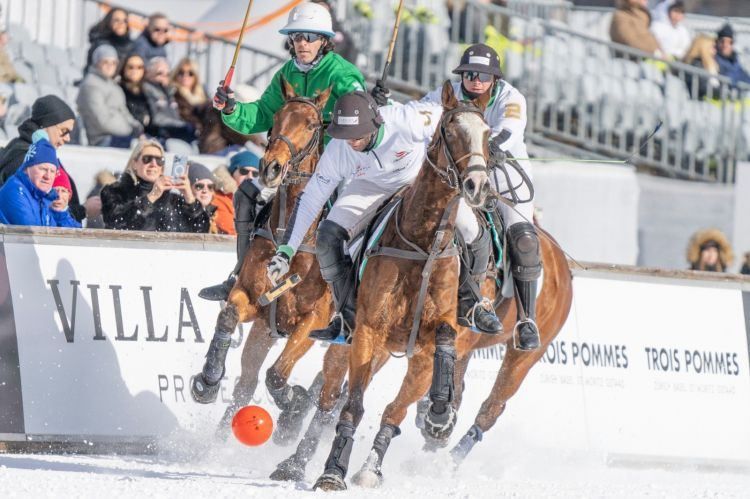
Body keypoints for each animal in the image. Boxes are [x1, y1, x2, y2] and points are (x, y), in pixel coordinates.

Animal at [191, 78, 334, 442]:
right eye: (276, 118)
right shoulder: (254, 301)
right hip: (264, 331)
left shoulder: (315, 319)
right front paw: (208, 381)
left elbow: (278, 375)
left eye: (312, 125)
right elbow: (228, 316)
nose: (271, 168)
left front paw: (293, 405)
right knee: (246, 383)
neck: (293, 234)